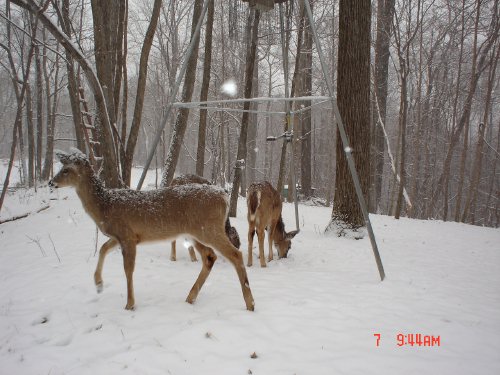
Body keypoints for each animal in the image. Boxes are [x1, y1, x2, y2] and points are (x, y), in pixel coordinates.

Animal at [48, 150, 254, 312]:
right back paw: (190, 297)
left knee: (235, 255)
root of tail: (223, 196)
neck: (105, 207)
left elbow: (128, 268)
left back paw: (250, 303)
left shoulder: (127, 236)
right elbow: (103, 249)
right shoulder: (121, 236)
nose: (51, 182)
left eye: (66, 170)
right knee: (210, 257)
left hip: (209, 229)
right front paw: (98, 284)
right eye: (61, 167)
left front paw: (129, 304)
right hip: (195, 233)